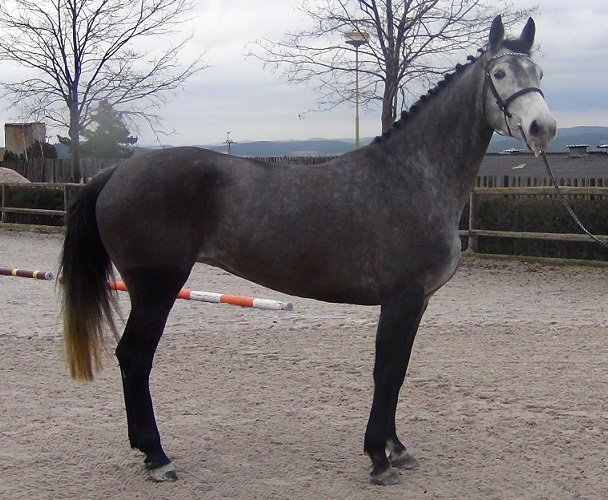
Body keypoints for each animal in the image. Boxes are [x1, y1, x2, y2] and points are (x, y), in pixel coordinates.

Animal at [59, 15, 555, 486]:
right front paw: (378, 459)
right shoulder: (400, 298)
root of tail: (116, 174)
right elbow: (385, 371)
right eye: (499, 72)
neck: (412, 176)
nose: (543, 128)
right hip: (157, 288)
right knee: (135, 357)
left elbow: (398, 371)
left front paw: (396, 448)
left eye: (539, 72)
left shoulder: (418, 303)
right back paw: (157, 456)